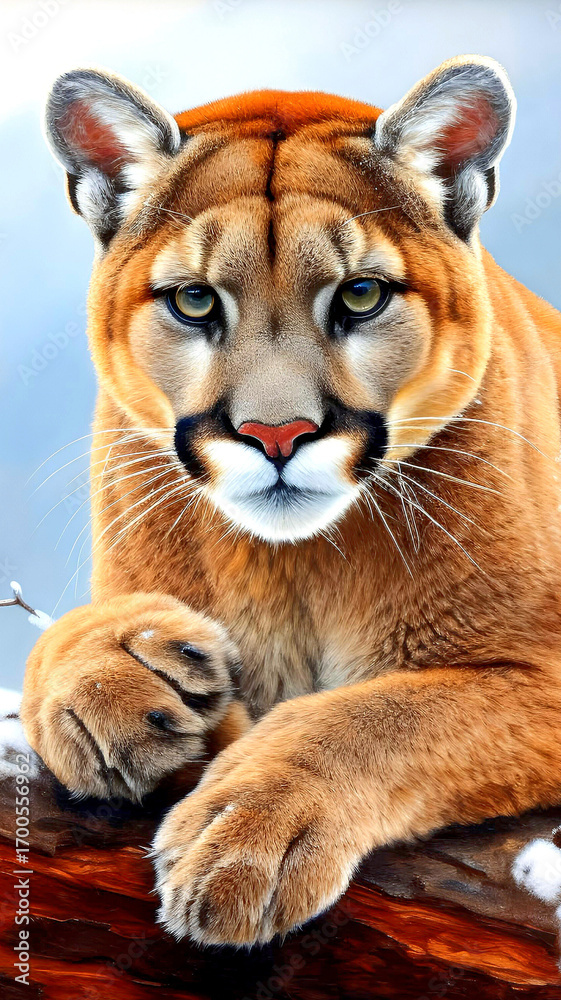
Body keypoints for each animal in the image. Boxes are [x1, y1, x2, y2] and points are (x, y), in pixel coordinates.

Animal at [20, 54, 561, 947]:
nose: (277, 434)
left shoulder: (533, 667)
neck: (299, 566)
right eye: (195, 301)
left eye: (361, 296)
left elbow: (385, 713)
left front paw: (247, 832)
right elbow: (64, 634)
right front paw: (115, 676)